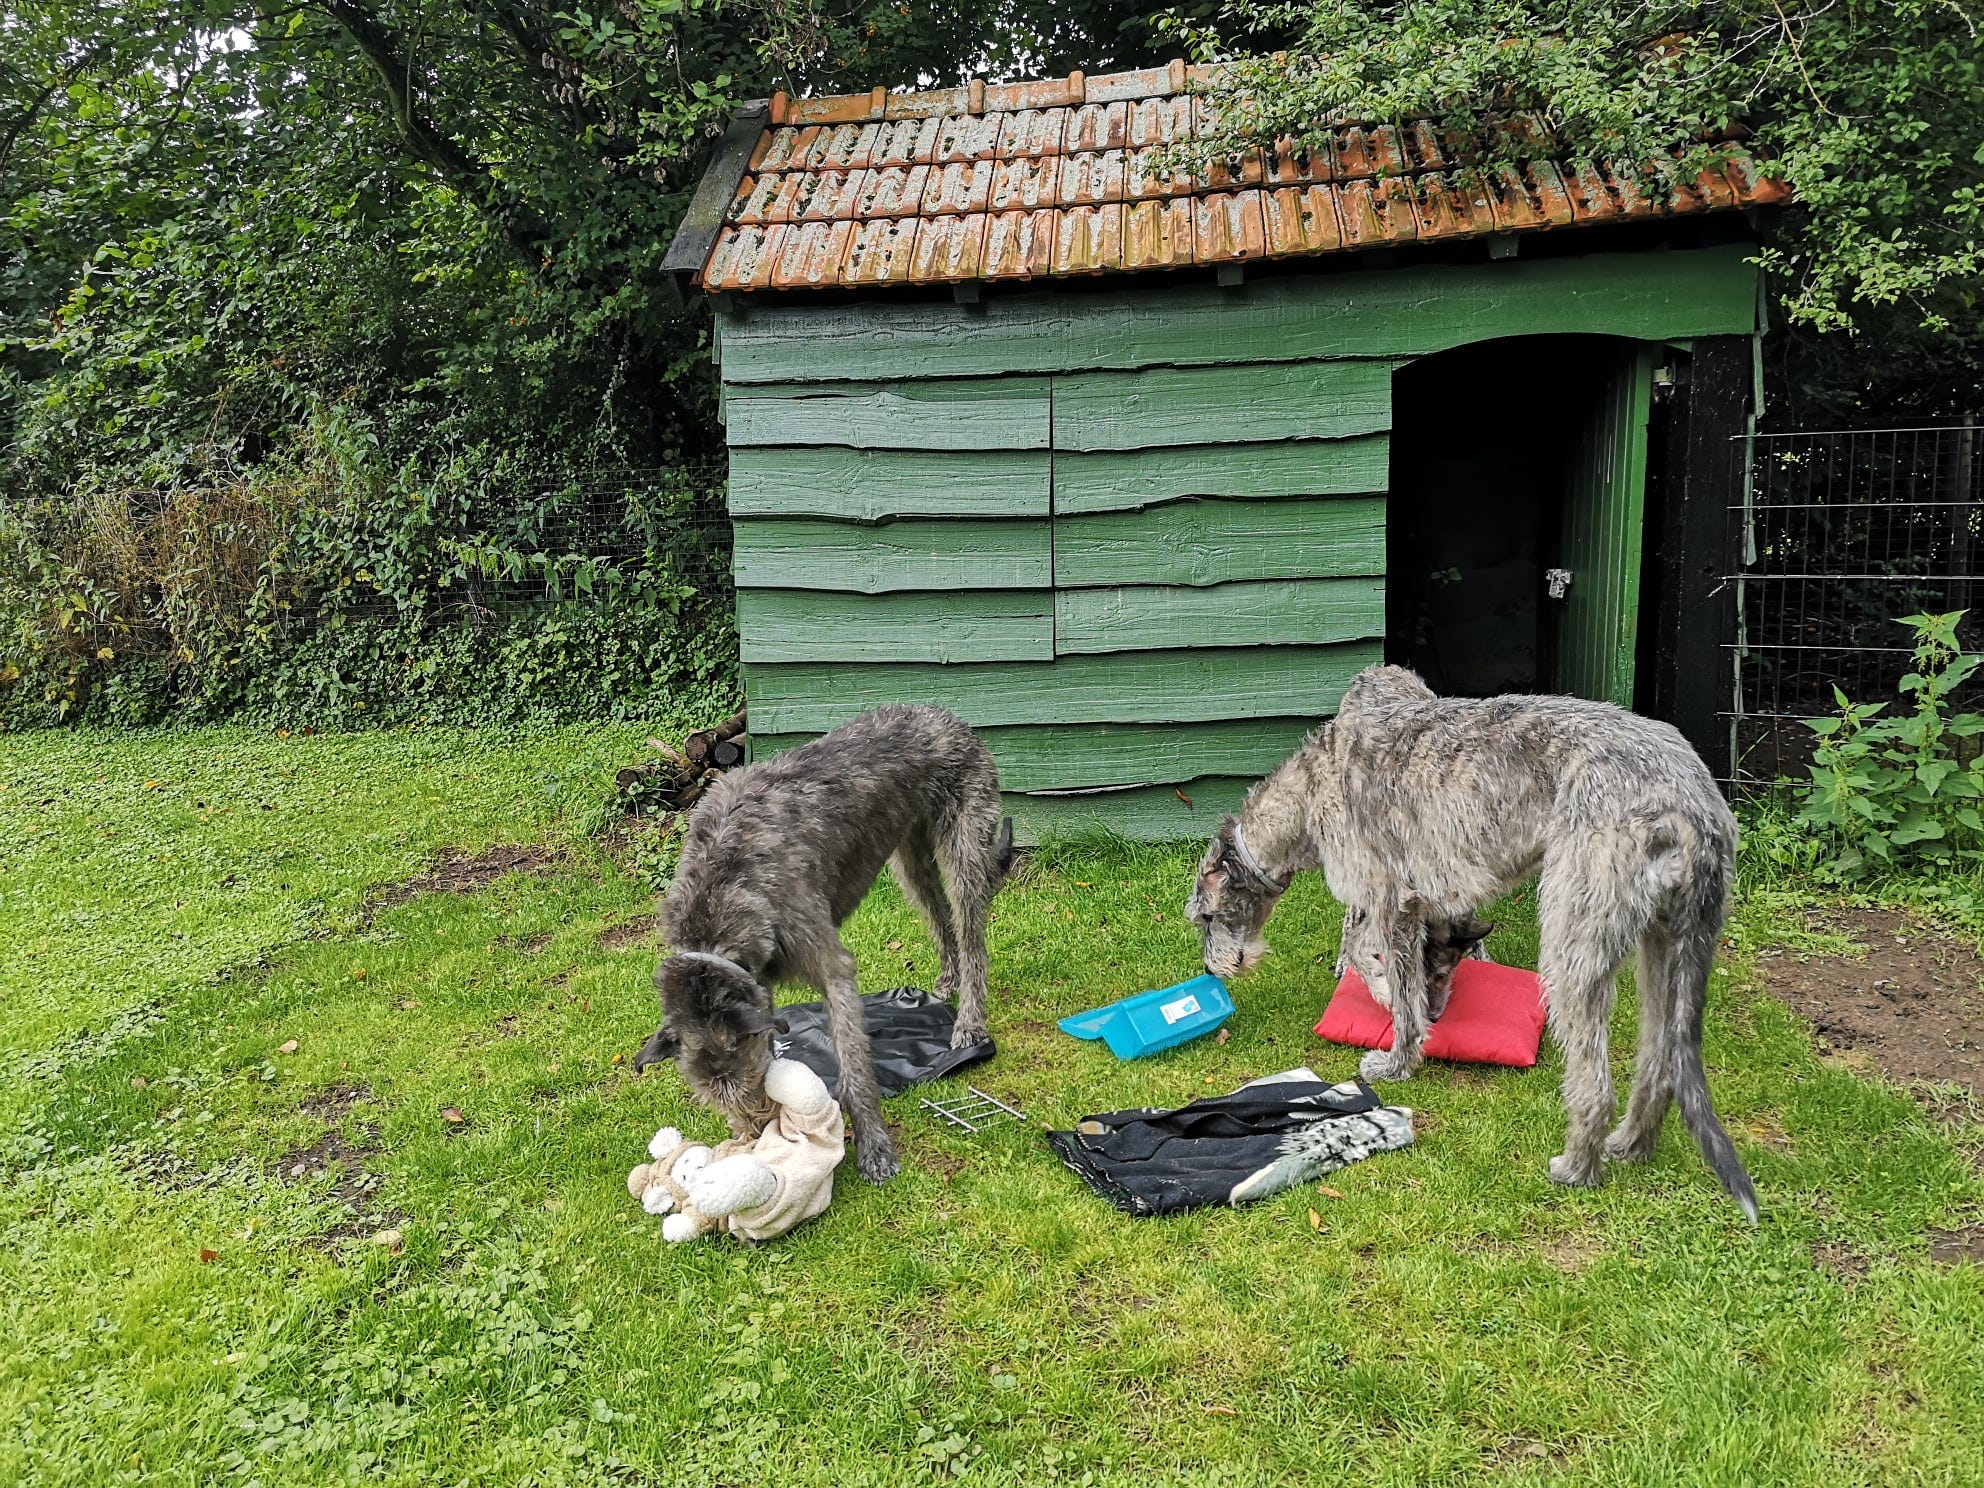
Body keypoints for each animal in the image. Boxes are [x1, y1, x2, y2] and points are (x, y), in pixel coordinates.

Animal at [634, 706, 1007, 1182]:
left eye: (748, 1077)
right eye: (709, 1094)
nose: (756, 1134)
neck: (718, 894)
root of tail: (944, 715)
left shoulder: (830, 965)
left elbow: (853, 1066)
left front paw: (875, 1148)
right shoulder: (759, 981)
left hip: (964, 844)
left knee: (971, 934)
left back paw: (969, 1021)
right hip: (909, 858)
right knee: (939, 914)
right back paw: (948, 979)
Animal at [1182, 666, 1761, 1222]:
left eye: (1204, 918)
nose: (1211, 970)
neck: (1310, 787)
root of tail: (1688, 801)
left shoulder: (1391, 899)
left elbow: (1396, 985)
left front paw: (1396, 1055)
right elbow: (1374, 956)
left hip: (1572, 941)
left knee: (1595, 1084)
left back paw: (1577, 1167)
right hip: (1668, 943)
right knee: (1659, 1061)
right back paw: (1631, 1146)